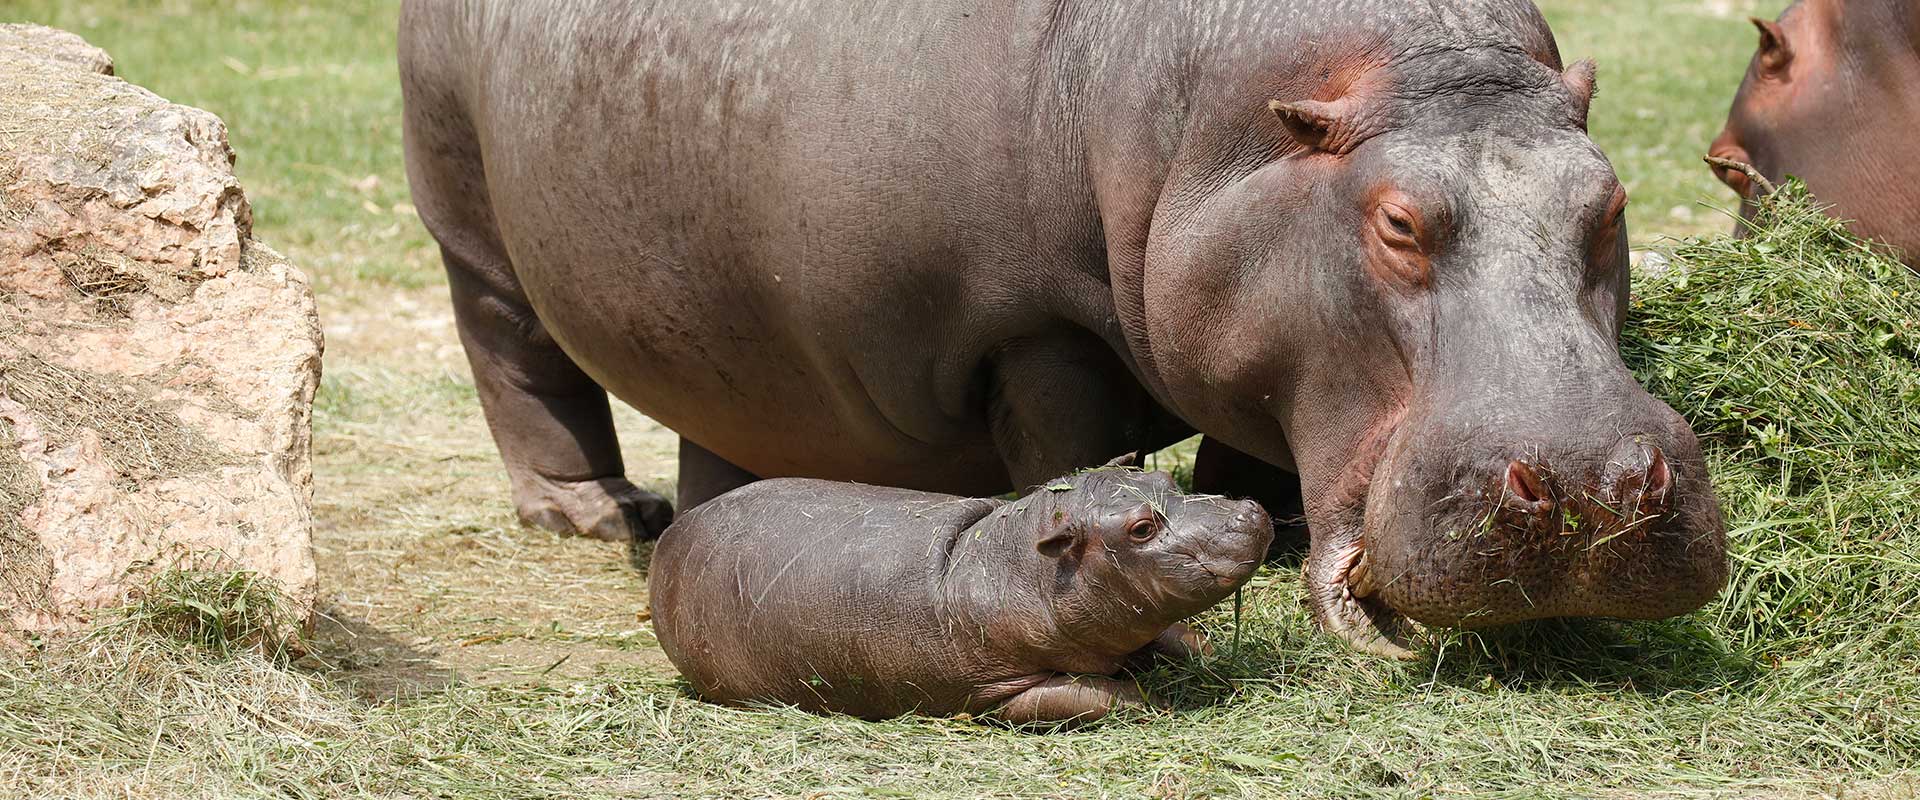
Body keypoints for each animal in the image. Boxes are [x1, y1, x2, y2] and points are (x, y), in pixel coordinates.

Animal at [399, 0, 1728, 656]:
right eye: (1398, 220)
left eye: (1610, 199)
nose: (1595, 488)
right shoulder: (1035, 328)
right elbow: (1072, 440)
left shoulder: (1248, 355)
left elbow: (1254, 442)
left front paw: (1270, 527)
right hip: (468, 225)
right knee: (519, 361)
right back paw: (596, 513)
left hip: (731, 338)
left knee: (721, 417)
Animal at [648, 463, 1272, 722]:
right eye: (1141, 528)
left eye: (1165, 481)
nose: (1249, 509)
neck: (1015, 563)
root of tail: (673, 532)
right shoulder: (998, 691)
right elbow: (1101, 697)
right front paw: (1164, 702)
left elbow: (1180, 636)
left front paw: (1218, 661)